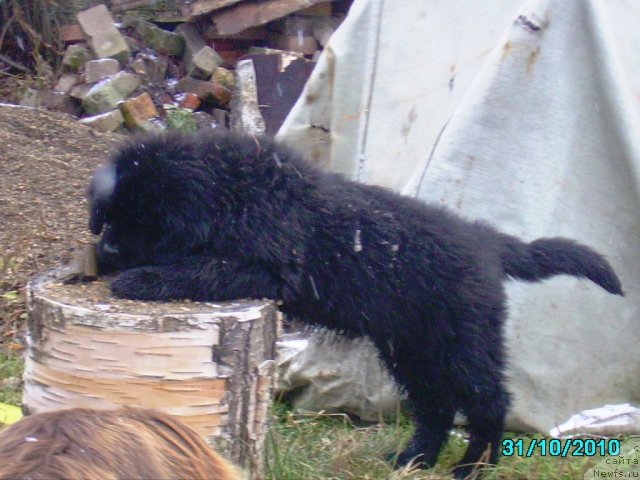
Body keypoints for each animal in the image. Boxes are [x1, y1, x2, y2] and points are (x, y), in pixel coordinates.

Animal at [87, 129, 624, 478]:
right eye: (109, 214)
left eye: (145, 221)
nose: (106, 249)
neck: (235, 194)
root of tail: (488, 241)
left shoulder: (270, 269)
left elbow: (206, 267)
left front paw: (142, 280)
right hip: (413, 348)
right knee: (436, 406)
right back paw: (410, 462)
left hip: (460, 342)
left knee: (489, 400)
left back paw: (472, 468)